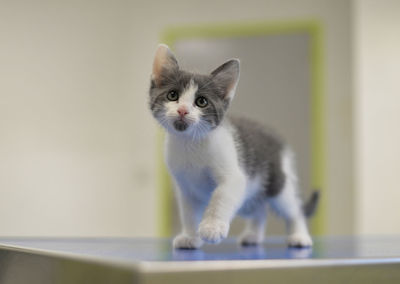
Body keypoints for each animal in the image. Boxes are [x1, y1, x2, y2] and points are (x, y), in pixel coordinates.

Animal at [148, 43, 318, 248]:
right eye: (172, 95)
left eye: (201, 101)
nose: (182, 110)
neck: (190, 143)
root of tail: (279, 139)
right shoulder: (186, 188)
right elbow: (188, 213)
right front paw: (190, 237)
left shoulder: (235, 177)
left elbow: (220, 197)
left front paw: (212, 228)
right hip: (252, 195)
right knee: (259, 209)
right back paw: (253, 235)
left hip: (278, 184)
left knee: (294, 209)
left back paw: (299, 236)